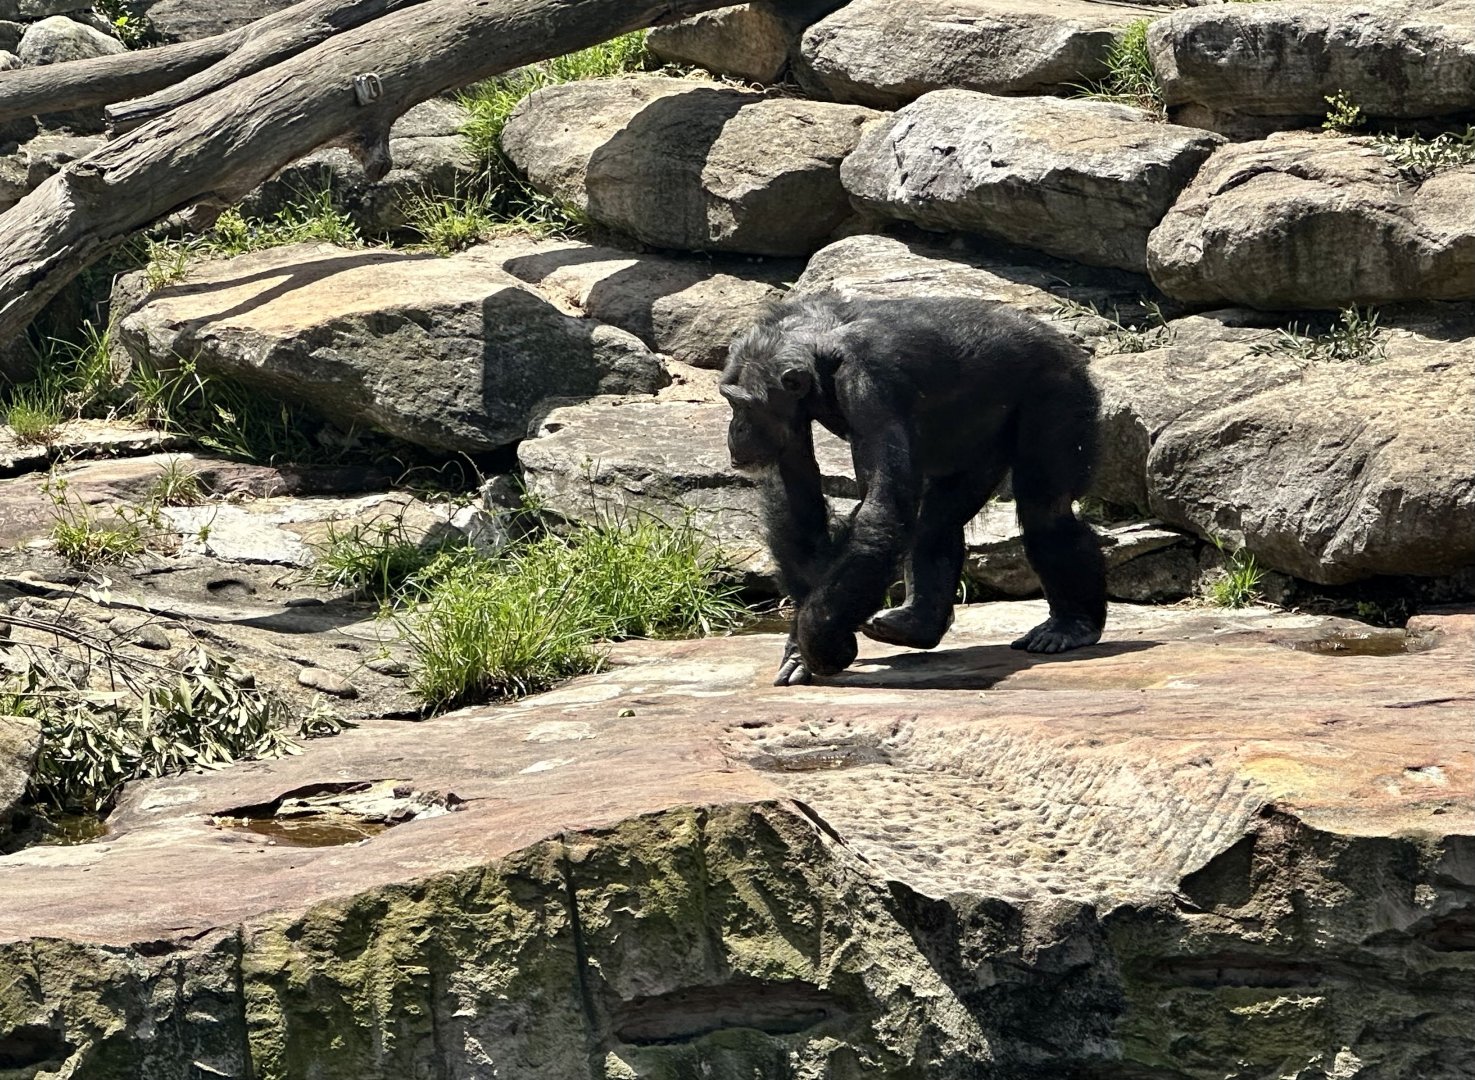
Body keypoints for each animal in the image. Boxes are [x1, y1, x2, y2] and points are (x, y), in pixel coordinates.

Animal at [720, 291, 1106, 686]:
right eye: (730, 400)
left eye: (741, 404)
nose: (735, 428)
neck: (821, 351)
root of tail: (1064, 342)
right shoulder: (790, 416)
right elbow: (797, 498)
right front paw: (799, 646)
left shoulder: (869, 387)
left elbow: (882, 507)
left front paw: (821, 640)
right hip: (979, 446)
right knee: (936, 521)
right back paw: (917, 622)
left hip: (1058, 390)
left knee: (1045, 510)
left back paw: (1071, 625)